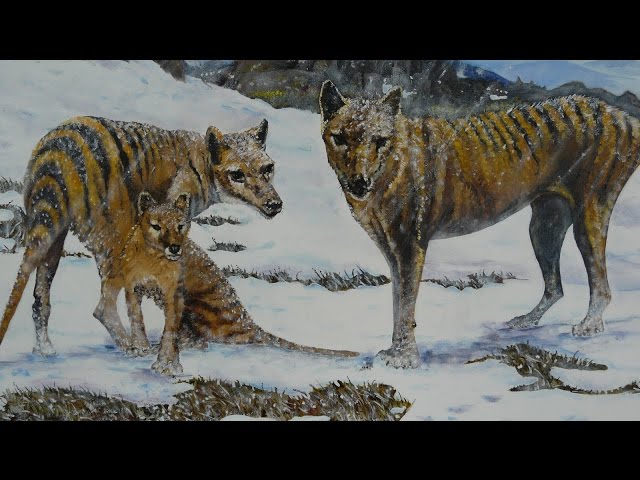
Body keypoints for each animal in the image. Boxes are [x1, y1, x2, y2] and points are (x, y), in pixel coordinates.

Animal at [0, 116, 282, 356]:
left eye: (267, 168)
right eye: (237, 174)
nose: (274, 205)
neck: (202, 162)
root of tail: (60, 151)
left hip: (53, 234)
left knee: (40, 299)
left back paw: (45, 349)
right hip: (112, 237)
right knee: (103, 307)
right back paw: (133, 347)